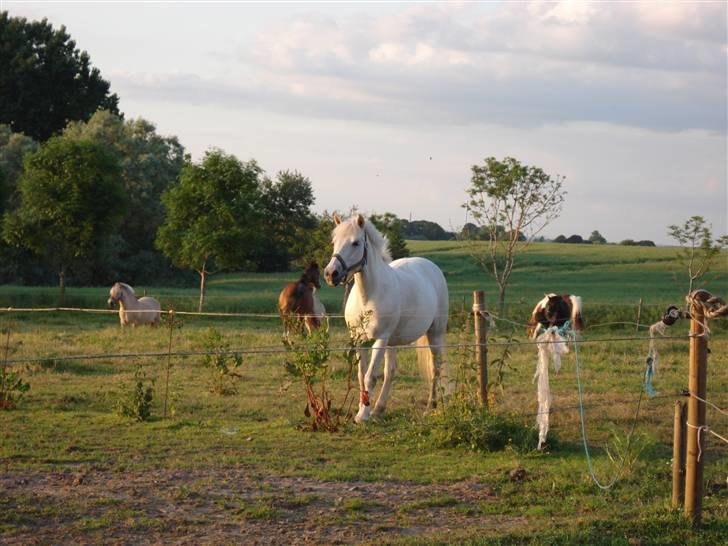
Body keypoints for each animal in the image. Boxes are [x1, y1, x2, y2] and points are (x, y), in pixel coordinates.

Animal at [326, 212, 450, 420]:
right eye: (334, 241)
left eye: (356, 243)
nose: (330, 273)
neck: (367, 297)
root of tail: (431, 267)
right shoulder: (359, 340)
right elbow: (361, 375)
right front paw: (363, 408)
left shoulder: (380, 339)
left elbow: (370, 376)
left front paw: (363, 415)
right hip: (393, 342)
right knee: (391, 371)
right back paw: (379, 408)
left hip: (434, 333)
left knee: (436, 367)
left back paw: (430, 405)